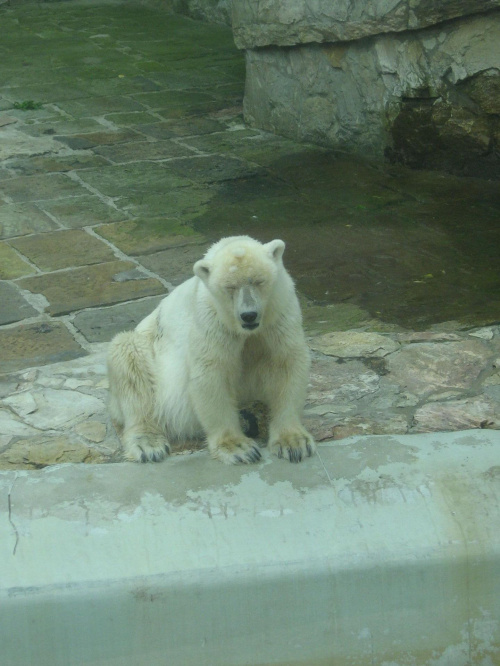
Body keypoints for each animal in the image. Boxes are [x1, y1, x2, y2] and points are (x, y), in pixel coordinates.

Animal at [107, 236, 314, 464]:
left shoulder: (279, 312)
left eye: (259, 281)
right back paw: (148, 444)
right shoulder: (212, 320)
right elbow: (213, 373)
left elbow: (285, 364)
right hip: (149, 347)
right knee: (129, 360)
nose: (248, 315)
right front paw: (238, 448)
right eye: (230, 287)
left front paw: (293, 443)